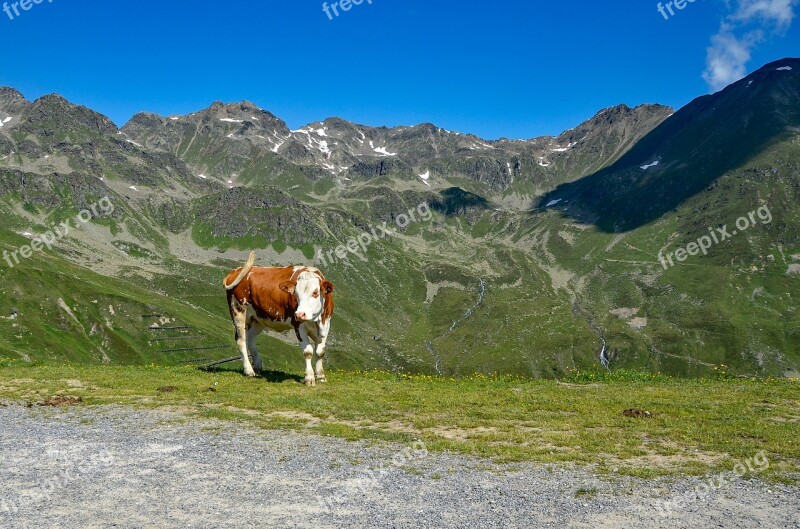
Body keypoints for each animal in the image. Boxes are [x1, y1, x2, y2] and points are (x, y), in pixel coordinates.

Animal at [223, 252, 336, 384]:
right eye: (295, 294)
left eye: (315, 292)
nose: (299, 314)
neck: (316, 321)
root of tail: (236, 271)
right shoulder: (298, 326)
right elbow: (308, 352)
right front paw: (309, 378)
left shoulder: (326, 323)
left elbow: (320, 352)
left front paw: (321, 376)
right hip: (238, 311)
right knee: (241, 340)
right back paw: (249, 370)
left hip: (258, 318)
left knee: (250, 338)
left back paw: (257, 366)